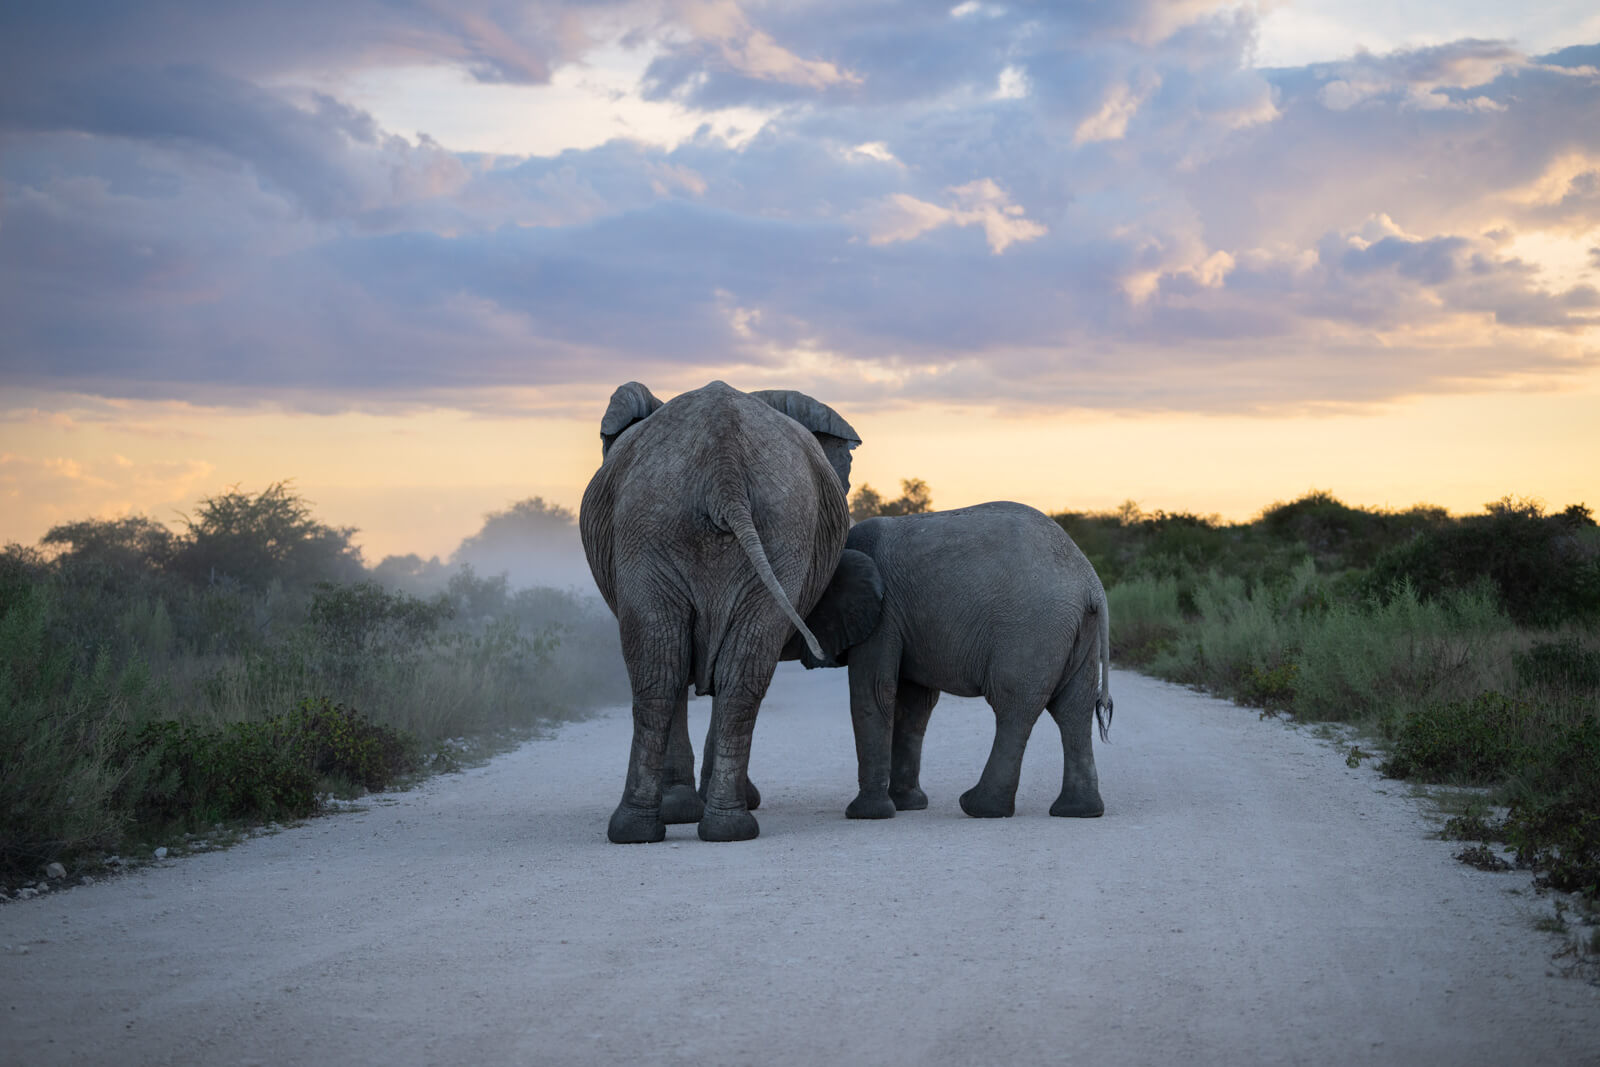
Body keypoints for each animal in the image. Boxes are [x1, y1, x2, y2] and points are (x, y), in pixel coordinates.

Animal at [579, 379, 874, 843]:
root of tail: (724, 462)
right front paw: (686, 808)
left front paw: (683, 806)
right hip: (723, 522)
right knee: (705, 672)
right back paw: (702, 827)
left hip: (696, 525)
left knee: (673, 670)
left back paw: (682, 825)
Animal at [797, 501, 1113, 821]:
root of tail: (1090, 583)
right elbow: (914, 704)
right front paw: (908, 805)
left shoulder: (884, 616)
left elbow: (874, 689)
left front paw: (866, 814)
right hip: (1077, 631)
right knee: (1073, 709)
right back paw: (1078, 811)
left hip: (1031, 629)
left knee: (1014, 706)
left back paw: (980, 807)